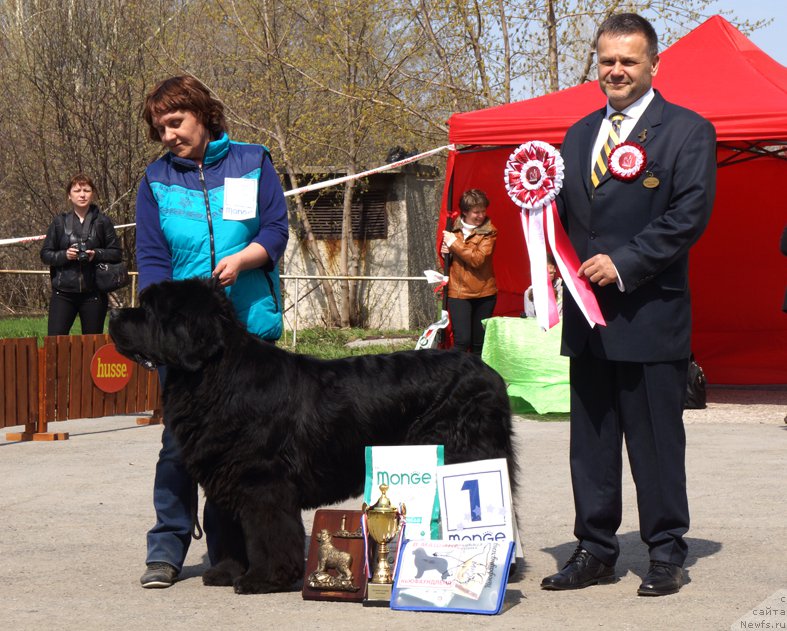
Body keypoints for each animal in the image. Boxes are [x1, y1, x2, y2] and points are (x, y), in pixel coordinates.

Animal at [111, 278, 516, 596]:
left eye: (149, 309)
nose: (114, 317)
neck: (215, 377)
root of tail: (489, 374)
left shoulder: (261, 482)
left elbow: (267, 532)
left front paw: (263, 579)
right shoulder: (227, 477)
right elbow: (228, 529)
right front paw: (226, 572)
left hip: (467, 459)